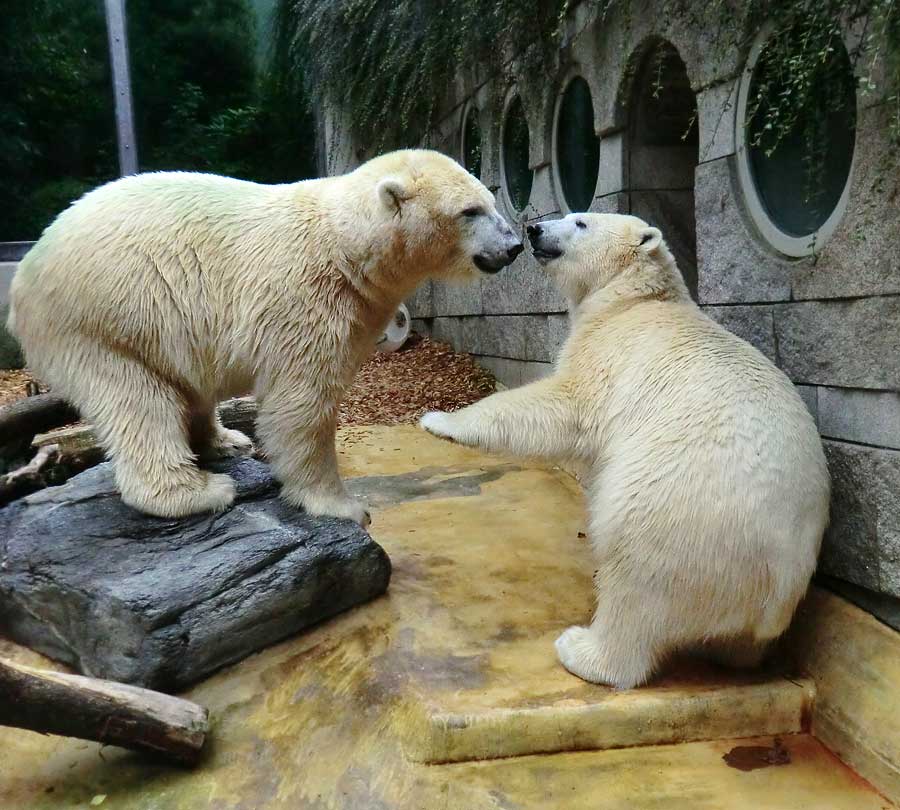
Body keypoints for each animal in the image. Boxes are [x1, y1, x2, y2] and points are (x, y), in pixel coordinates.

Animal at [10, 148, 524, 520]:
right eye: (470, 210)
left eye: (491, 200)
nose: (516, 245)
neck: (346, 246)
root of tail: (28, 267)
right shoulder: (303, 299)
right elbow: (302, 403)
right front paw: (342, 506)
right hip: (106, 317)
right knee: (136, 399)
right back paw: (197, 492)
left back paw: (224, 441)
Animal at [422, 211, 828, 684]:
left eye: (580, 221)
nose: (535, 229)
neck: (632, 299)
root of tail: (777, 591)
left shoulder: (611, 352)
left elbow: (561, 405)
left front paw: (440, 419)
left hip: (676, 513)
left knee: (635, 581)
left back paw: (583, 649)